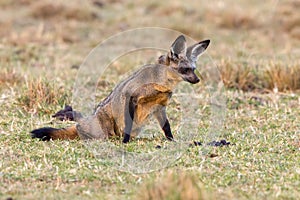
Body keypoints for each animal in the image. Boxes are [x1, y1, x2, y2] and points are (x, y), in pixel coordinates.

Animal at [29, 35, 209, 143]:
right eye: (185, 70)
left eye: (193, 69)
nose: (197, 80)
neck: (160, 83)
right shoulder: (131, 96)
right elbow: (128, 124)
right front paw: (125, 142)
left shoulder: (160, 107)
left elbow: (167, 127)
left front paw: (171, 140)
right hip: (105, 124)